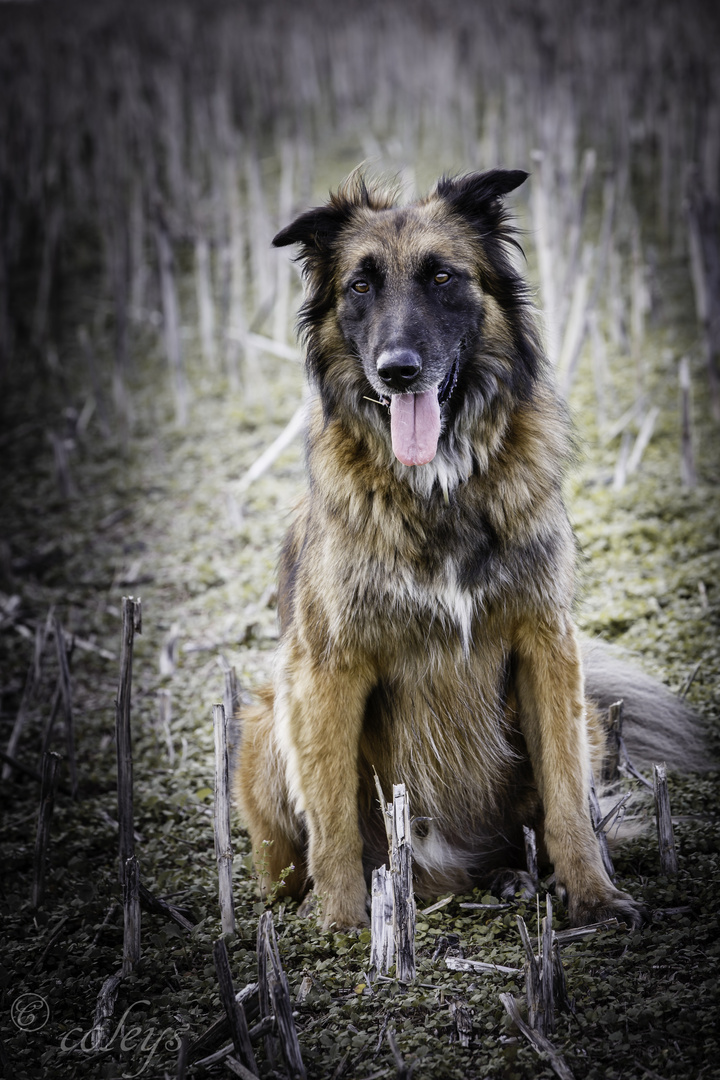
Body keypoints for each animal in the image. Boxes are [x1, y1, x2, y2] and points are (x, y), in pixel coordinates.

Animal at [234, 168, 708, 928]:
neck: (440, 487)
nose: (398, 371)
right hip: (264, 721)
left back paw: (517, 877)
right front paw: (343, 927)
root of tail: (445, 869)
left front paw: (594, 895)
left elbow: (568, 797)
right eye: (359, 286)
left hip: (584, 724)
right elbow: (333, 820)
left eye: (442, 276)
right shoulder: (327, 667)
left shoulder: (546, 643)